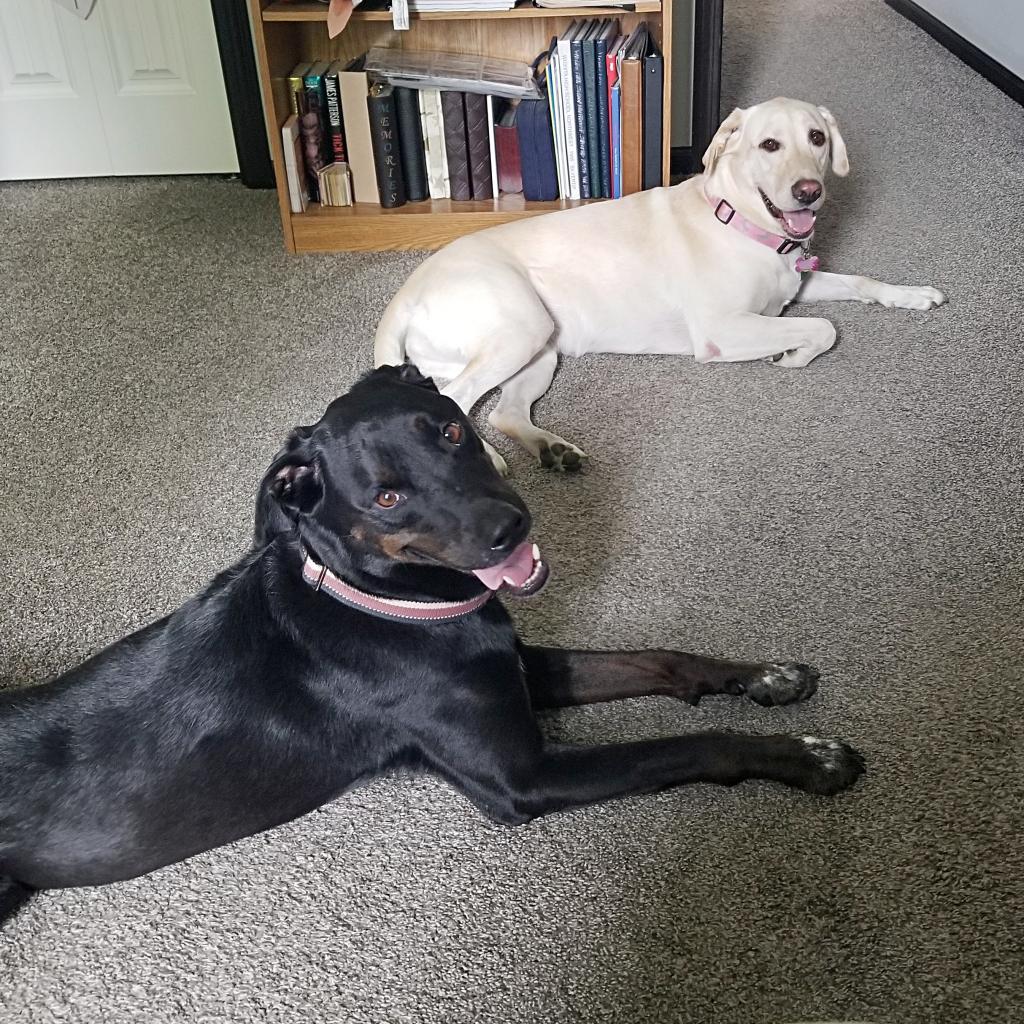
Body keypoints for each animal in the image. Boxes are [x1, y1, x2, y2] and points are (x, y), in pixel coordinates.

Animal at [0, 366, 864, 921]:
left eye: (452, 429)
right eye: (386, 496)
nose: (511, 528)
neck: (386, 601)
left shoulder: (517, 668)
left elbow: (661, 659)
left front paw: (769, 678)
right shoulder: (522, 778)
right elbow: (684, 747)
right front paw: (808, 758)